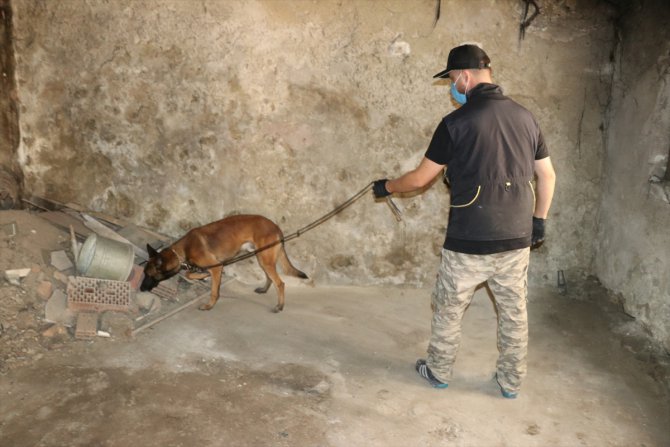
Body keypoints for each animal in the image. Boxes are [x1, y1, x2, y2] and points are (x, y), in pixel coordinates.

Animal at [143, 215, 312, 314]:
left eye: (149, 275)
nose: (141, 289)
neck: (182, 250)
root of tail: (276, 227)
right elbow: (189, 273)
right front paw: (202, 275)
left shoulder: (217, 267)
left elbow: (212, 290)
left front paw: (209, 306)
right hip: (262, 257)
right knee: (270, 278)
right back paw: (264, 289)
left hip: (265, 259)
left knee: (280, 283)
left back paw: (280, 306)